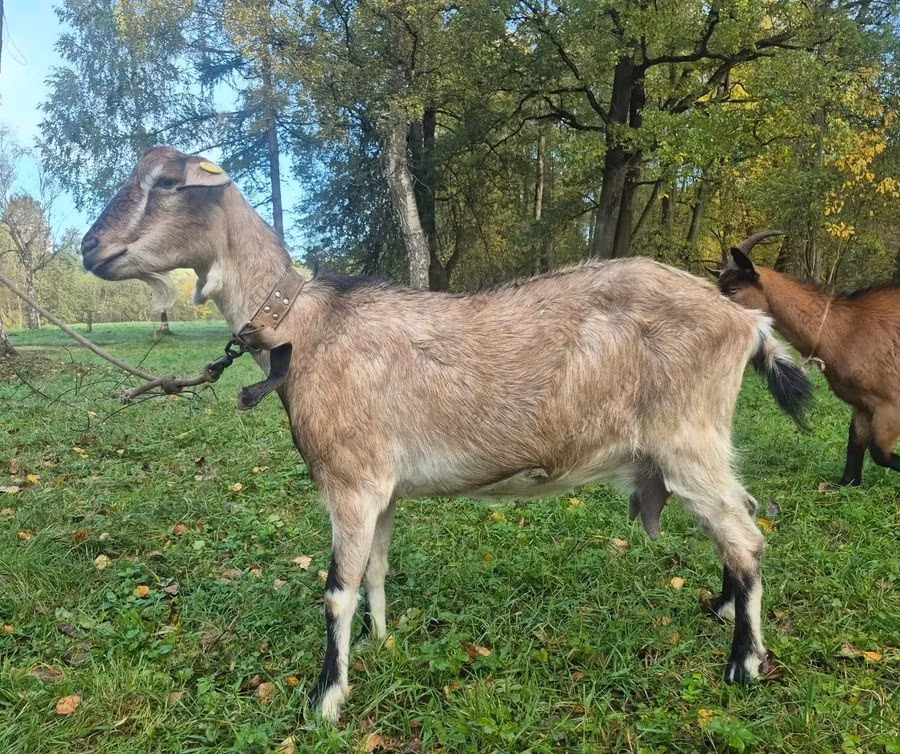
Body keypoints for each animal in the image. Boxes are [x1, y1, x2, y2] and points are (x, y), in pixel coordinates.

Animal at [81, 147, 811, 721]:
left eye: (166, 182)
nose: (90, 248)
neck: (306, 327)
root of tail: (747, 324)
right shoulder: (382, 488)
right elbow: (375, 569)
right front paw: (381, 644)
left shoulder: (349, 481)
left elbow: (336, 589)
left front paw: (326, 699)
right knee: (739, 520)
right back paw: (725, 611)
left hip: (688, 438)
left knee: (746, 536)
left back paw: (744, 665)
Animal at [716, 232, 900, 486]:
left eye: (733, 289)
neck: (845, 329)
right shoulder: (863, 403)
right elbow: (855, 444)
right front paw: (845, 484)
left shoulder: (891, 405)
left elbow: (879, 452)